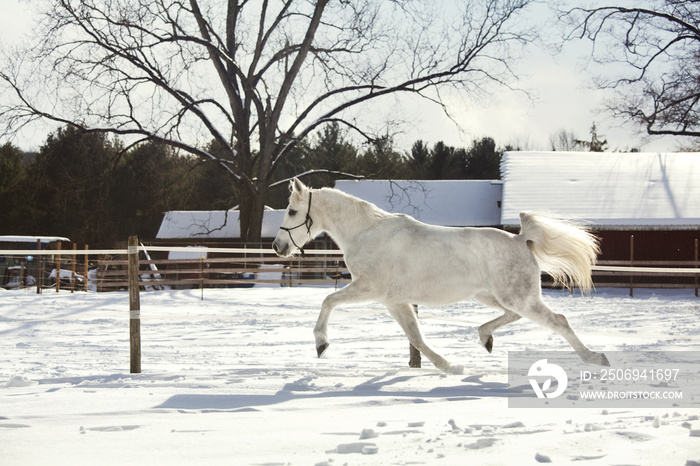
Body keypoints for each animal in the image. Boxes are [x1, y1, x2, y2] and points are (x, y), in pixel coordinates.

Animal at [270, 178, 608, 374]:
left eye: (291, 212)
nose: (277, 246)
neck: (367, 232)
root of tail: (520, 239)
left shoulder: (369, 288)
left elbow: (328, 300)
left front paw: (321, 344)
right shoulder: (394, 301)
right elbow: (416, 337)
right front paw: (450, 367)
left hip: (519, 297)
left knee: (558, 321)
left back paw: (596, 358)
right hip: (493, 295)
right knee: (513, 316)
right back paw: (485, 338)